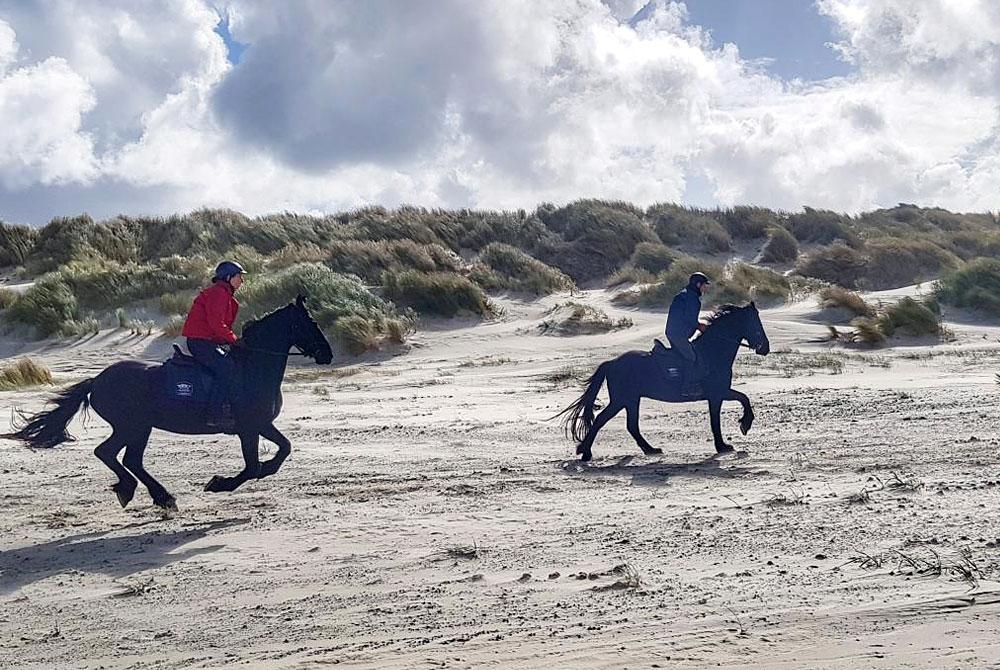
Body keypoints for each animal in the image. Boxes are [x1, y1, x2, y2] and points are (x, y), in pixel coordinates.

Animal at [4, 296, 332, 512]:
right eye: (311, 323)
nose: (327, 354)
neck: (252, 367)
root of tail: (96, 381)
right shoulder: (250, 428)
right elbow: (253, 467)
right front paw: (219, 483)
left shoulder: (263, 425)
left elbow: (282, 450)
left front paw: (260, 470)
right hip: (131, 426)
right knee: (110, 454)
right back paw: (148, 493)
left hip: (139, 428)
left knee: (128, 459)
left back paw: (155, 496)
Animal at [560, 304, 768, 462]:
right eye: (756, 325)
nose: (765, 348)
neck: (713, 351)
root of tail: (611, 363)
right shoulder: (718, 393)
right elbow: (735, 404)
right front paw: (732, 437)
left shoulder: (718, 394)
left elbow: (740, 400)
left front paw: (732, 435)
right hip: (622, 400)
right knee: (602, 420)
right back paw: (585, 452)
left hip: (631, 400)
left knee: (631, 426)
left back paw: (650, 450)